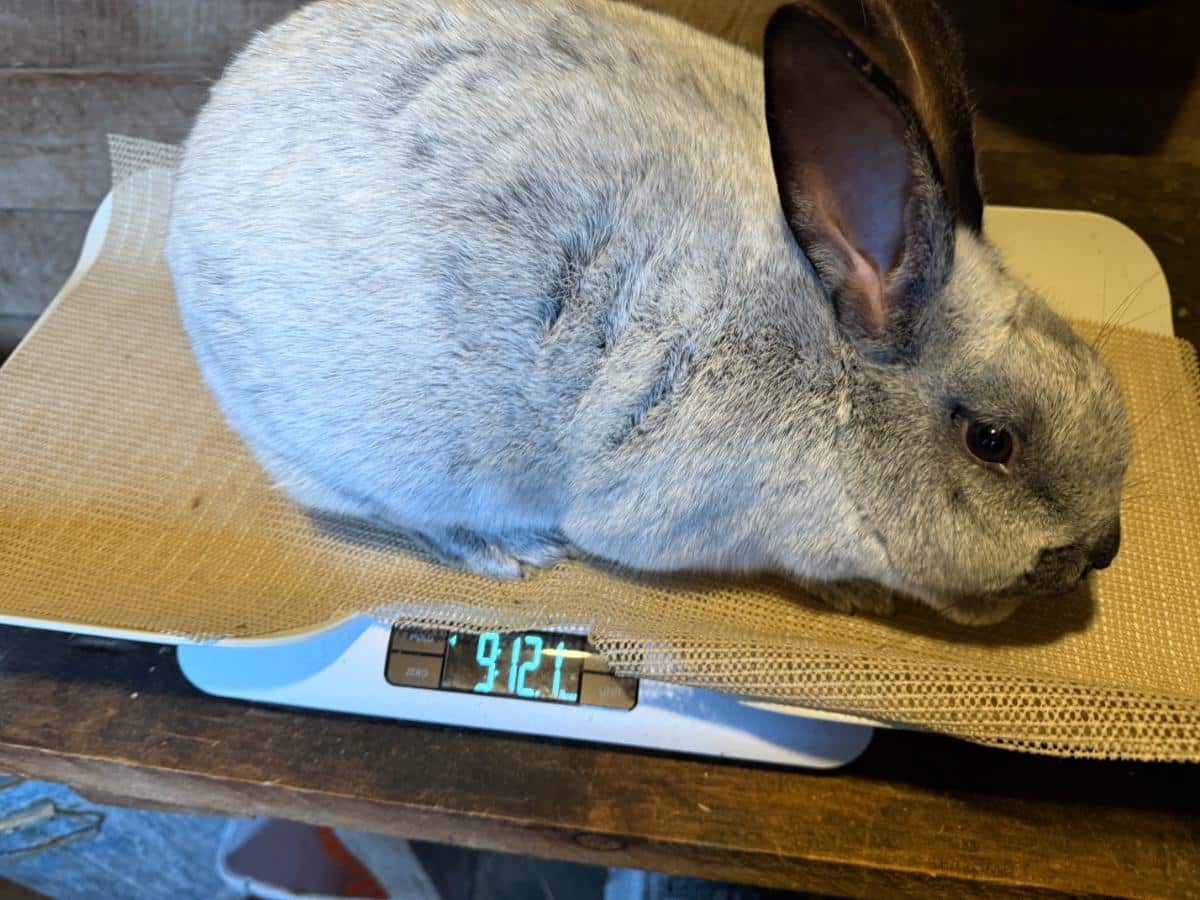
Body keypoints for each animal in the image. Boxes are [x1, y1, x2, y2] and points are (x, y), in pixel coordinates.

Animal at [165, 0, 1130, 626]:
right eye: (992, 442)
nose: (1107, 550)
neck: (838, 377)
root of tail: (198, 153)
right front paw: (847, 593)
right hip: (369, 462)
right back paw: (504, 552)